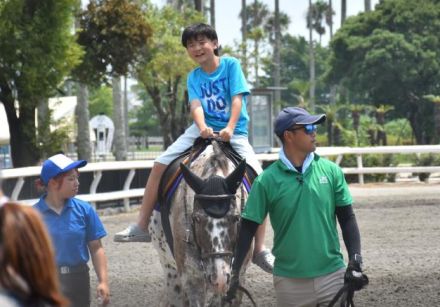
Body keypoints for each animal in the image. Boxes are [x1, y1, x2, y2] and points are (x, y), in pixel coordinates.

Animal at [150, 138, 256, 306]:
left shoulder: (237, 278)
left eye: (236, 218)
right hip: (169, 268)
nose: (219, 279)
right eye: (197, 219)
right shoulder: (191, 278)